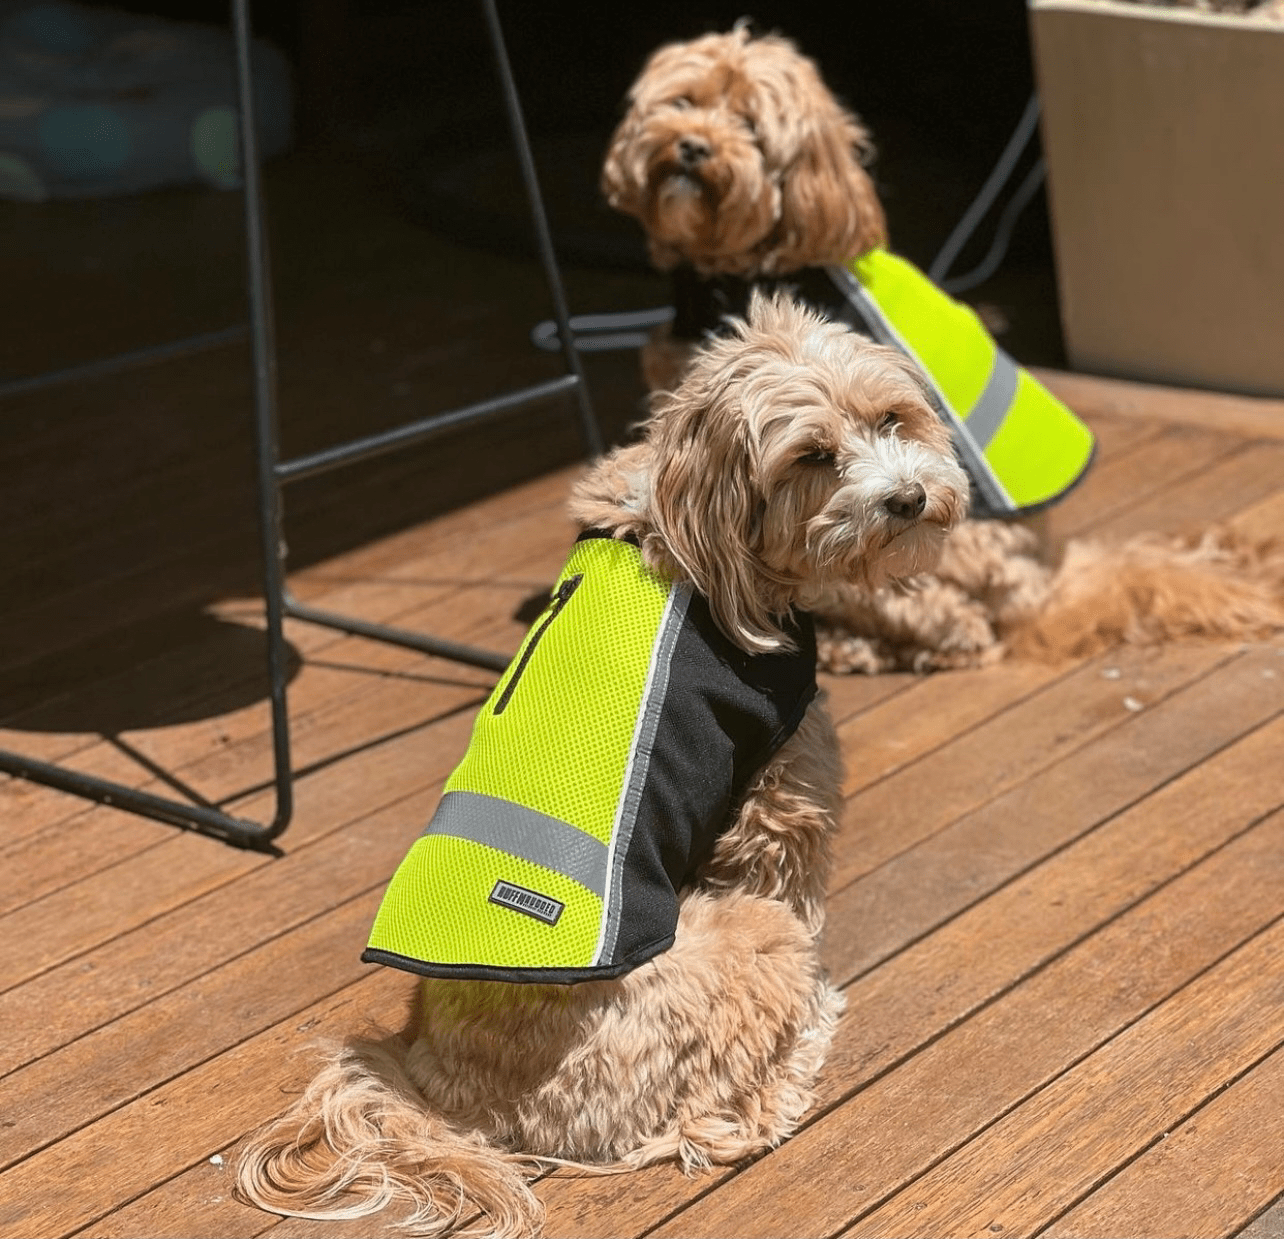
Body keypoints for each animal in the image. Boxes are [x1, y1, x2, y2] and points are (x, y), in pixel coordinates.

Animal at [233, 292, 970, 1237]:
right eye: (811, 456)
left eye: (891, 418)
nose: (908, 498)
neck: (683, 527)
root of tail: (444, 1093)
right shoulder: (779, 804)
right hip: (747, 937)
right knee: (717, 1112)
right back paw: (797, 1054)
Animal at [600, 24, 1284, 672]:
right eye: (684, 101)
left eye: (750, 124)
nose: (692, 146)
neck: (740, 269)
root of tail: (1043, 583)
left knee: (960, 626)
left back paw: (862, 647)